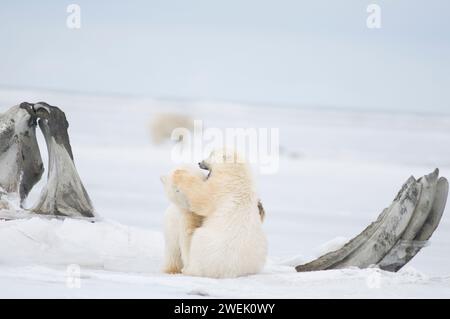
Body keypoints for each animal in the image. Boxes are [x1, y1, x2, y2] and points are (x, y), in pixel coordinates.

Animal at [170, 150, 268, 278]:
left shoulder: (223, 185)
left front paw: (179, 173)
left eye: (211, 154)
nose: (200, 162)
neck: (238, 175)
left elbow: (201, 197)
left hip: (204, 245)